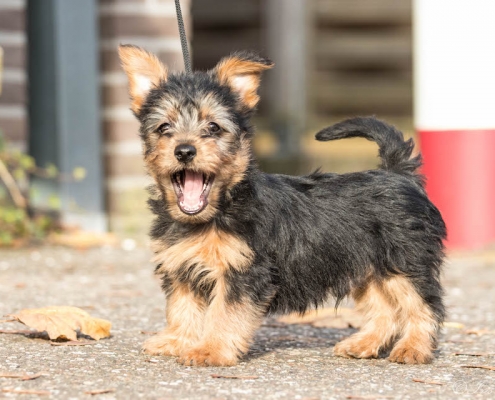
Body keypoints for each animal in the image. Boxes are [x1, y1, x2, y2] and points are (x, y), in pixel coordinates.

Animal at [119, 45, 446, 368]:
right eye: (164, 127)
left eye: (213, 127)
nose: (184, 151)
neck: (220, 207)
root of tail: (397, 173)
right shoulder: (181, 268)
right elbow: (181, 307)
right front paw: (177, 340)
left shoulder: (243, 273)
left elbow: (224, 313)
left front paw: (210, 350)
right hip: (369, 270)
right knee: (384, 310)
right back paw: (363, 344)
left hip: (404, 264)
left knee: (423, 305)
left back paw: (413, 348)